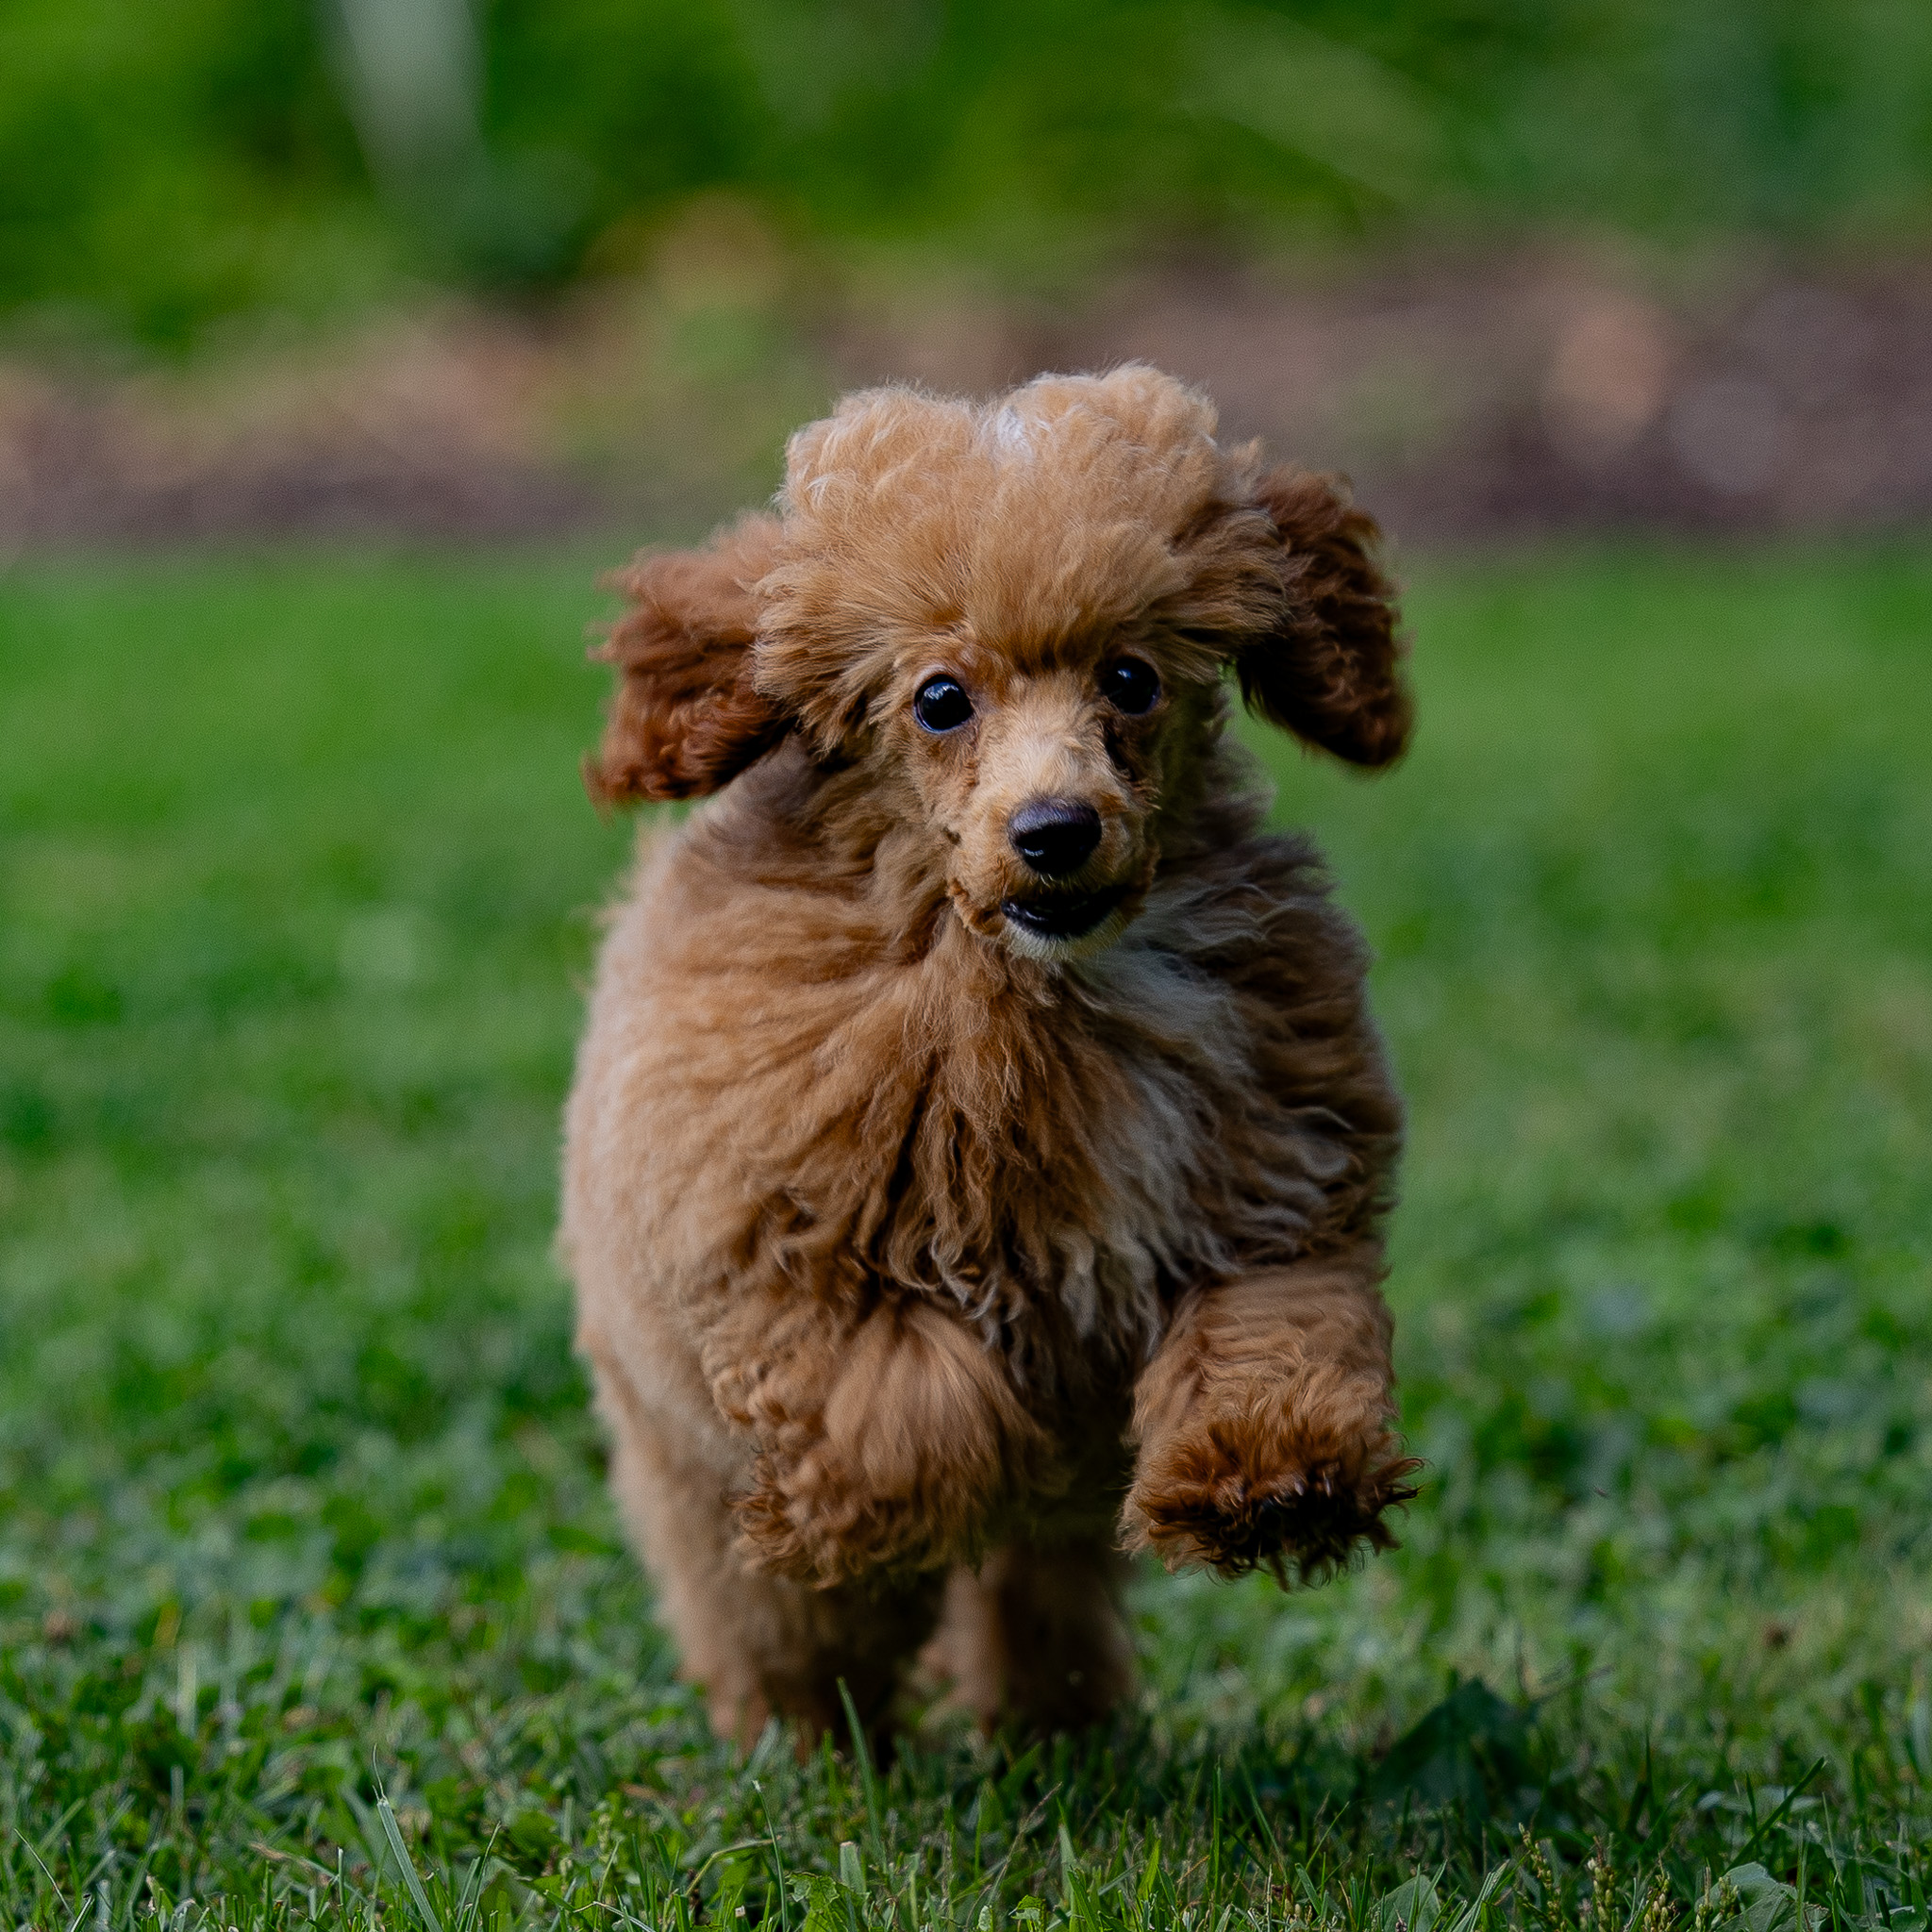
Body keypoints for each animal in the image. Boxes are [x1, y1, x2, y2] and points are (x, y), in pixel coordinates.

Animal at [559, 365, 1422, 1754]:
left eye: (1130, 677)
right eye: (939, 699)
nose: (1056, 830)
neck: (1021, 980)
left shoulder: (1275, 1179)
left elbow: (1274, 1317)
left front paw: (1270, 1476)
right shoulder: (785, 1262)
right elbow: (921, 1418)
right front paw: (940, 1499)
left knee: (1040, 1597)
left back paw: (1052, 1722)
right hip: (678, 1457)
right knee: (773, 1622)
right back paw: (807, 1726)